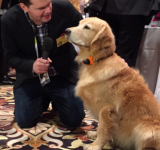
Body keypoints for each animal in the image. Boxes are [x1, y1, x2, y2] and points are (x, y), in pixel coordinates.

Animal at [65, 17, 160, 149]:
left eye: (87, 27)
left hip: (145, 129)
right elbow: (100, 126)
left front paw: (95, 145)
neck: (98, 61)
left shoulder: (106, 109)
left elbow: (103, 129)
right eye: (79, 24)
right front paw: (95, 135)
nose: (66, 30)